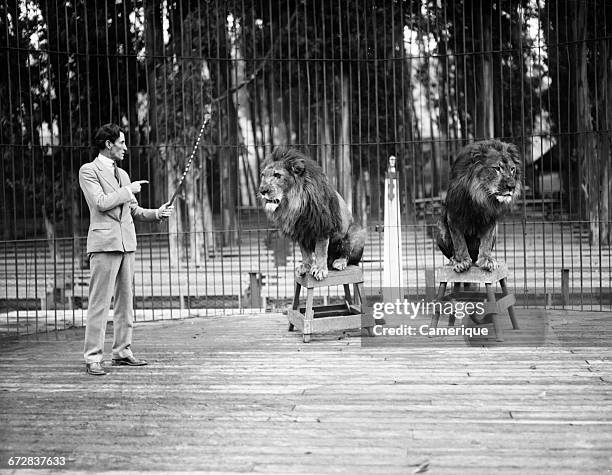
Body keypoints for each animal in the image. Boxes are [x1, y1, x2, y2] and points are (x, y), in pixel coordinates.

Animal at [256, 147, 366, 280]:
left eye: (277, 175)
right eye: (263, 175)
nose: (262, 190)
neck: (294, 204)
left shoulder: (322, 226)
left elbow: (320, 250)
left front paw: (319, 269)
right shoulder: (300, 231)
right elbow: (305, 253)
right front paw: (306, 266)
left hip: (356, 231)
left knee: (349, 256)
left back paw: (339, 262)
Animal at [436, 139, 520, 274]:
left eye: (512, 169)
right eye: (497, 168)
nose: (512, 186)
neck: (480, 195)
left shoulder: (490, 218)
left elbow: (486, 242)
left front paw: (487, 260)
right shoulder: (454, 215)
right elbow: (459, 242)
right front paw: (461, 261)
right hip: (440, 227)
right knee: (451, 253)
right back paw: (454, 260)